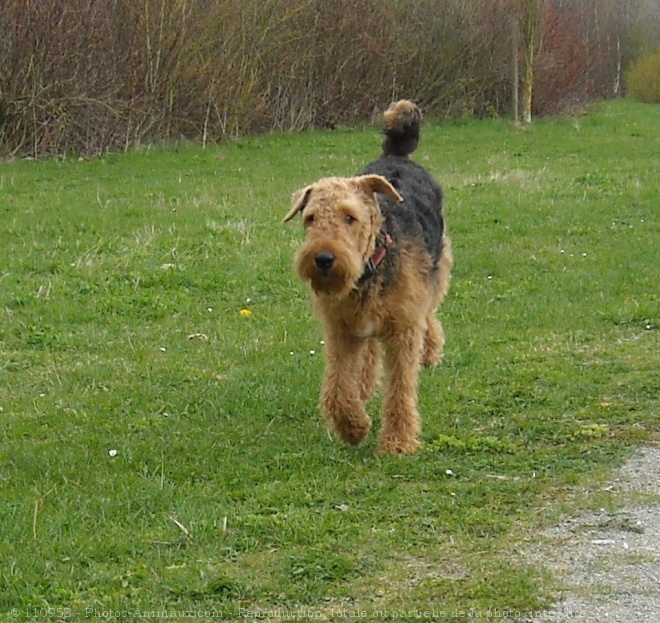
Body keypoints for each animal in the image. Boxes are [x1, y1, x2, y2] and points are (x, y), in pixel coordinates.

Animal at [282, 100, 452, 456]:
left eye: (350, 217)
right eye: (310, 218)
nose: (323, 259)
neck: (369, 269)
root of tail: (397, 156)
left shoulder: (403, 330)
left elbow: (401, 389)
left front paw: (398, 441)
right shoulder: (341, 331)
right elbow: (337, 389)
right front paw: (354, 427)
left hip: (437, 270)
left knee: (430, 314)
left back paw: (430, 352)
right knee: (370, 352)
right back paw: (365, 386)